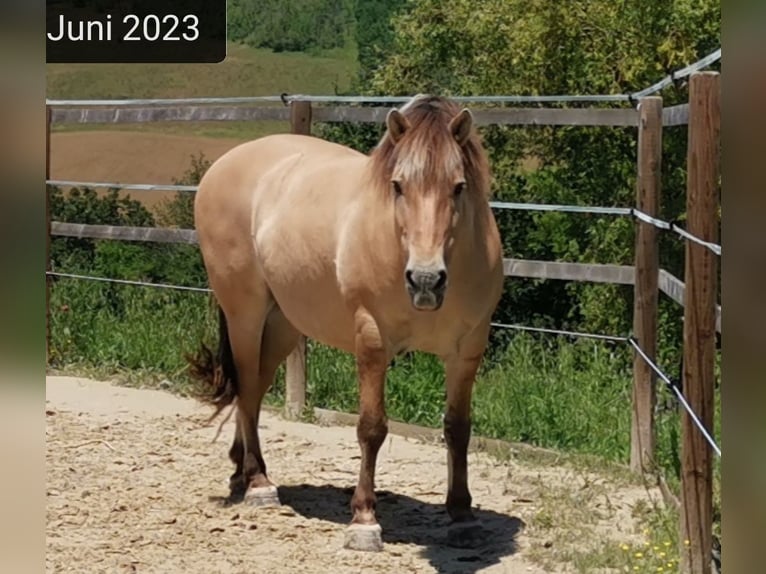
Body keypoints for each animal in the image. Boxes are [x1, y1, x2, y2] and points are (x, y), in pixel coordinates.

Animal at [189, 95, 508, 552]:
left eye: (459, 187)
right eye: (398, 185)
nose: (425, 280)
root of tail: (223, 164)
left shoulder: (467, 350)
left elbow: (458, 429)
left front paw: (462, 516)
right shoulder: (371, 340)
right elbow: (372, 427)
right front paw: (364, 520)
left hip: (283, 324)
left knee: (255, 391)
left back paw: (240, 472)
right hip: (244, 315)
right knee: (247, 389)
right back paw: (259, 483)